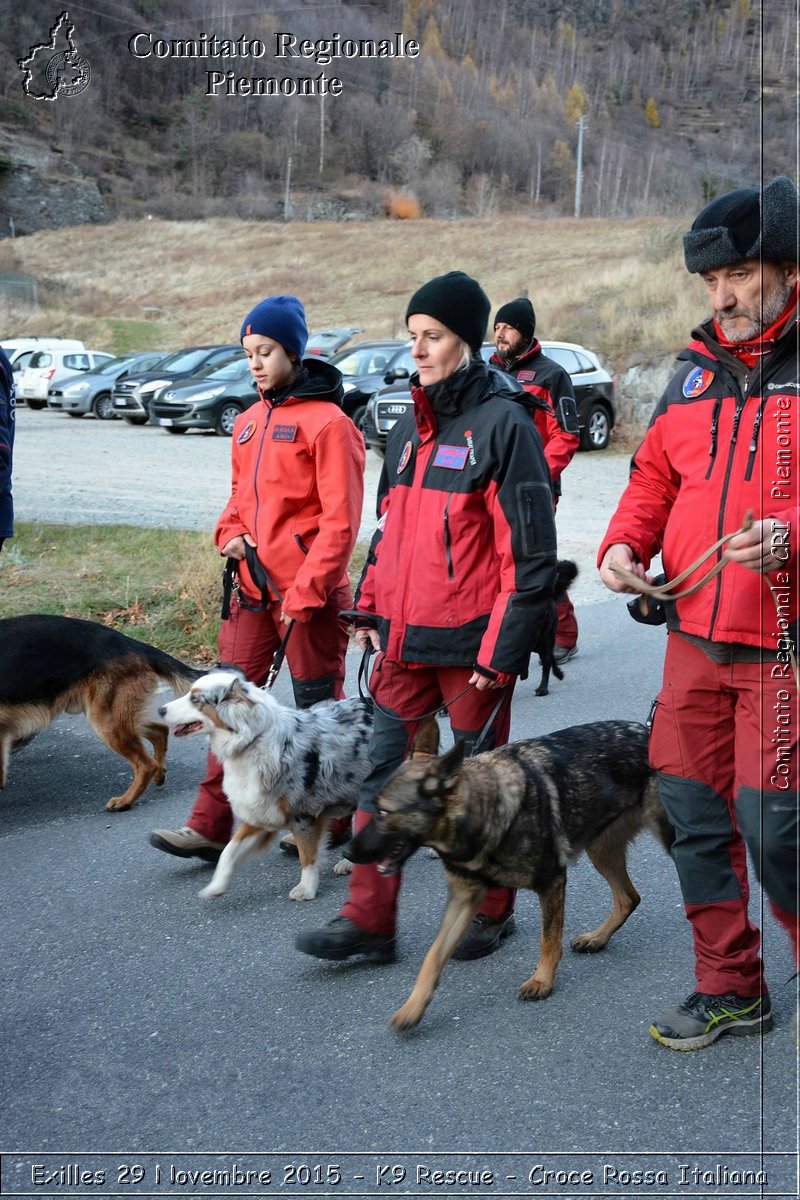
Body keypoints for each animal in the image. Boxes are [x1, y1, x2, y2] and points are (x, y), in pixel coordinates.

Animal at [0, 614, 203, 811]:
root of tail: (132, 643)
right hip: (117, 718)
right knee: (160, 730)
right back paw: (159, 775)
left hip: (106, 723)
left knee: (146, 764)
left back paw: (125, 801)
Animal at [158, 672, 374, 897]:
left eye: (194, 699)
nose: (160, 710)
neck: (252, 742)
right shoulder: (259, 812)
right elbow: (229, 851)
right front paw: (215, 887)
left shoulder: (303, 814)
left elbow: (307, 855)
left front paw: (306, 888)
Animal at [347, 715, 671, 1027]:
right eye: (373, 807)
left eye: (384, 813)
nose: (348, 852)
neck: (484, 811)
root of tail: (646, 730)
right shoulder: (463, 899)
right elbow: (434, 955)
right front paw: (413, 1006)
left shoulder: (552, 883)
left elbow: (548, 940)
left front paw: (542, 980)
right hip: (601, 852)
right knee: (628, 898)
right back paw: (598, 938)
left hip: (668, 839)